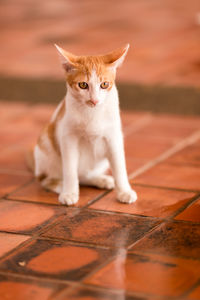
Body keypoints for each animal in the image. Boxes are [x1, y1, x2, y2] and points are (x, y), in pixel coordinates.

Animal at [32, 43, 138, 205]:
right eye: (83, 85)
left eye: (104, 84)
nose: (94, 100)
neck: (92, 113)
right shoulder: (68, 137)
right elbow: (70, 168)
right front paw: (69, 192)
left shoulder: (114, 137)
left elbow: (120, 166)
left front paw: (124, 191)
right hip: (45, 144)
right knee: (47, 179)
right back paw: (59, 185)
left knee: (83, 175)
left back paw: (100, 179)